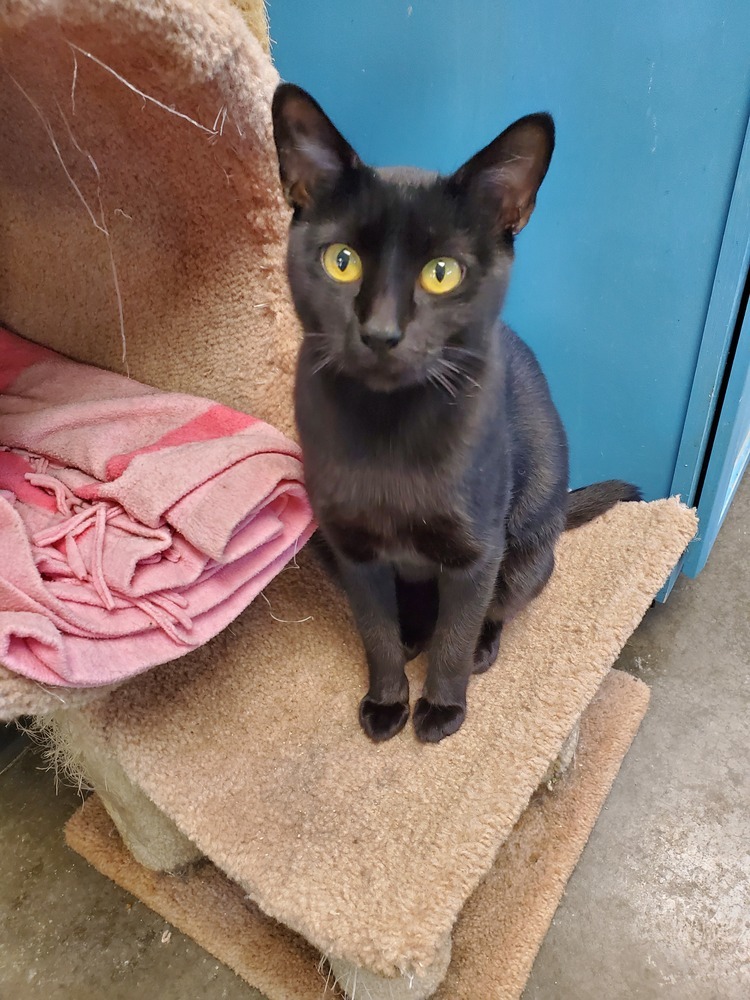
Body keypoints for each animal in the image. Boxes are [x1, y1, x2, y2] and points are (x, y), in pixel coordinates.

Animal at [272, 84, 640, 744]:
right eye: (342, 260)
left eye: (441, 273)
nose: (381, 333)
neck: (387, 430)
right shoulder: (356, 555)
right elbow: (376, 634)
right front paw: (387, 701)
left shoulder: (476, 554)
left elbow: (456, 633)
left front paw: (442, 709)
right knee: (412, 617)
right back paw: (413, 635)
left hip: (527, 547)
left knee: (495, 608)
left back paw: (479, 650)